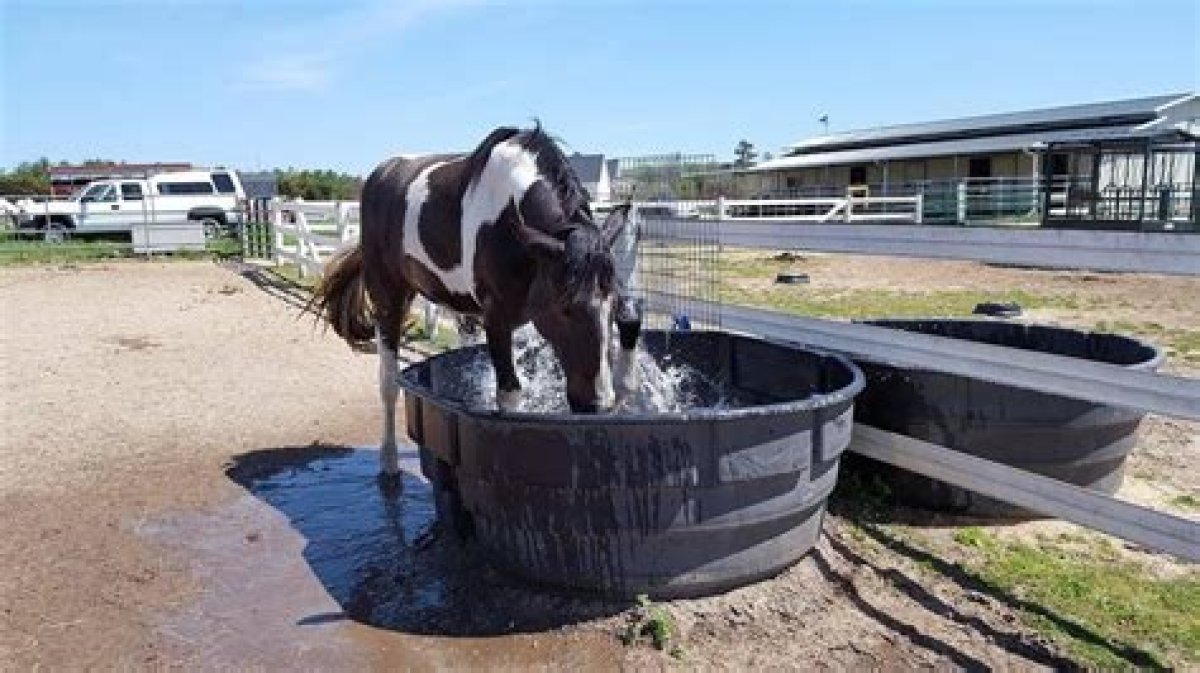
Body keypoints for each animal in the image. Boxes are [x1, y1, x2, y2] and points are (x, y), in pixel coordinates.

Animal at [310, 125, 640, 476]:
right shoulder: (497, 319)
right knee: (388, 380)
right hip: (388, 296)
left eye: (611, 306)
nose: (598, 405)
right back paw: (389, 460)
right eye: (565, 308)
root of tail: (380, 174)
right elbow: (510, 397)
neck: (509, 219)